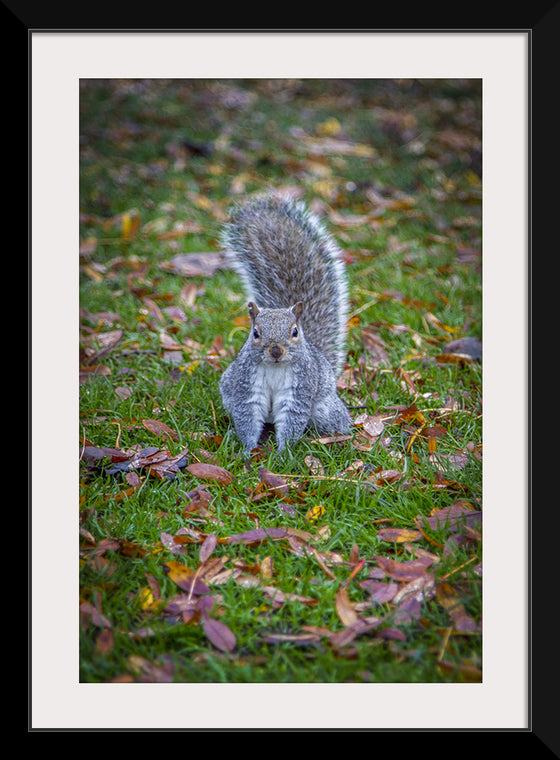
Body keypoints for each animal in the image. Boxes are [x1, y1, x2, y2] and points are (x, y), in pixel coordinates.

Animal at [218, 196, 350, 458]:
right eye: (255, 333)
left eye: (294, 332)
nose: (276, 351)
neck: (276, 368)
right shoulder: (246, 385)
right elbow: (247, 417)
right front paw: (247, 450)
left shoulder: (299, 389)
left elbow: (292, 418)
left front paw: (283, 453)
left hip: (324, 408)